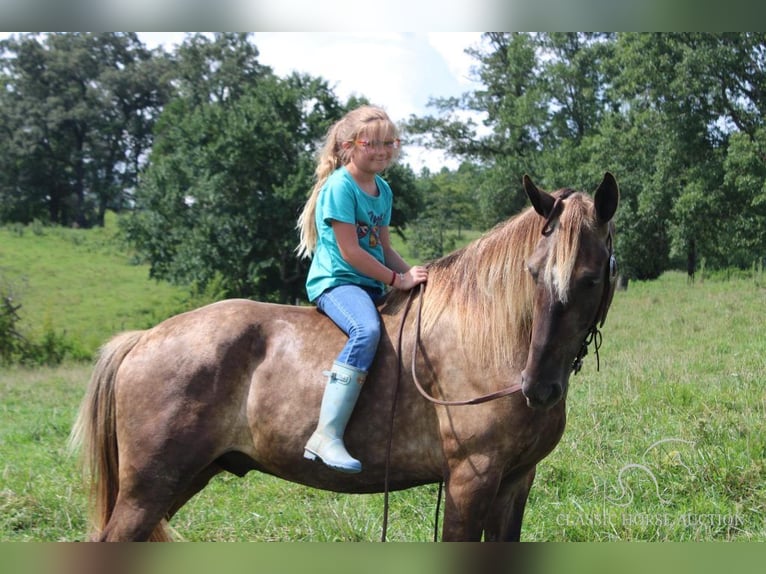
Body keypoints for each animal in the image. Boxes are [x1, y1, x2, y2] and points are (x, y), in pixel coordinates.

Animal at [70, 173, 624, 544]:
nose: (539, 388)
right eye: (533, 272)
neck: (493, 341)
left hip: (181, 480)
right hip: (148, 489)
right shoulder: (471, 480)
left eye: (591, 277)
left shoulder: (516, 481)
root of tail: (143, 339)